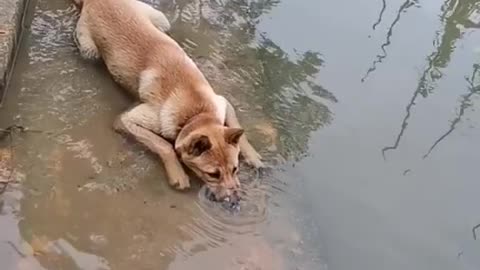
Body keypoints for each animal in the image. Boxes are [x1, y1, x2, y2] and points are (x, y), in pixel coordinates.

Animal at [73, 0, 264, 199]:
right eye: (212, 174)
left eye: (235, 169)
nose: (234, 200)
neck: (196, 113)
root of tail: (94, 1)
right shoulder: (126, 120)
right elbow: (164, 145)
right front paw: (177, 173)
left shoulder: (221, 102)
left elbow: (236, 125)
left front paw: (252, 155)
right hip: (89, 50)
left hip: (161, 20)